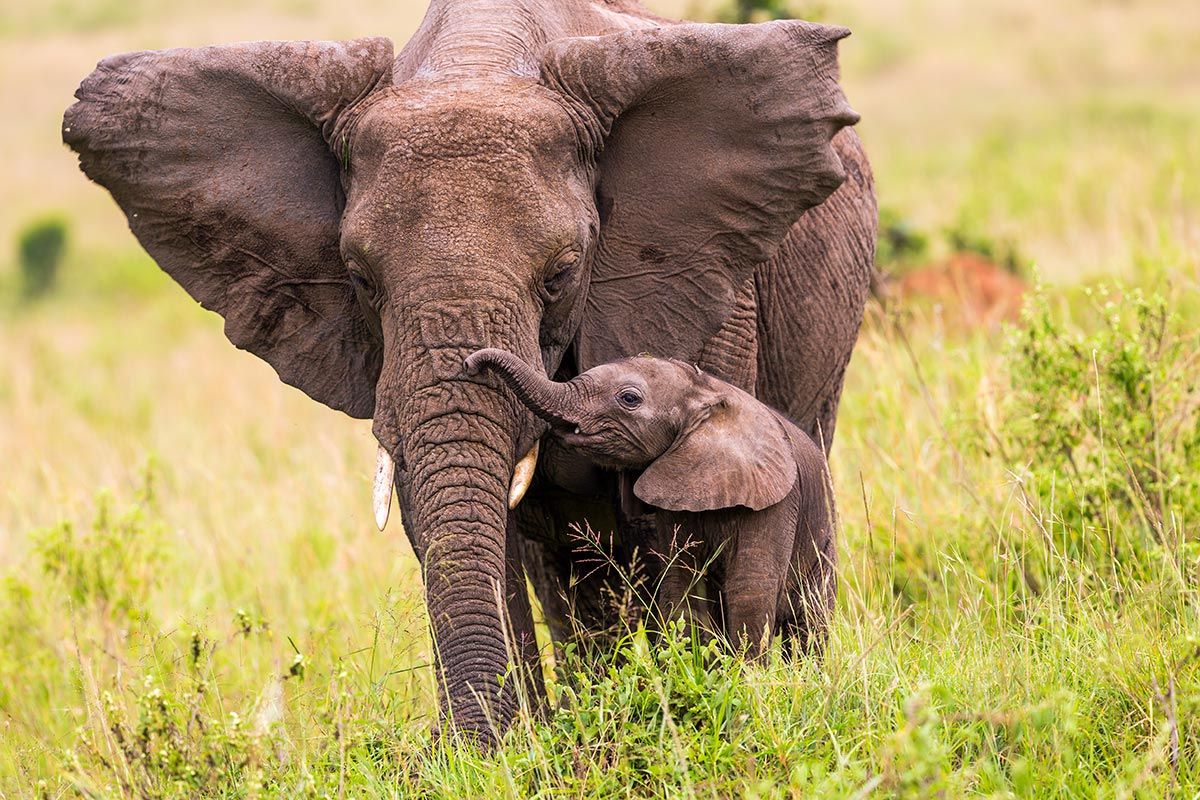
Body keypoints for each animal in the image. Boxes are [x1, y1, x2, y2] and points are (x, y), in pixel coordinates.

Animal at [465, 348, 837, 657]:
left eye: (629, 398)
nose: (471, 364)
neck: (706, 392)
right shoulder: (677, 495)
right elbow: (679, 584)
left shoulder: (774, 504)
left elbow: (750, 591)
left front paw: (746, 680)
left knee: (810, 623)